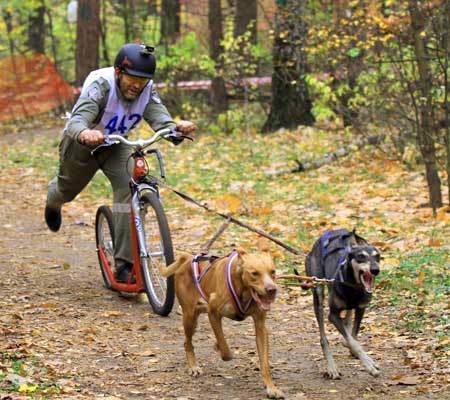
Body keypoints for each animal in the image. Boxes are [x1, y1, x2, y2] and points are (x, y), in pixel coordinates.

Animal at [162, 242, 284, 398]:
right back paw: (193, 366)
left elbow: (264, 363)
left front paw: (271, 387)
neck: (243, 289)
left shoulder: (260, 326)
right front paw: (220, 349)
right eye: (254, 273)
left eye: (272, 271)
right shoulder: (213, 313)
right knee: (187, 342)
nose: (272, 290)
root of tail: (189, 258)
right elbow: (225, 349)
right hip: (189, 317)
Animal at [306, 228, 380, 378]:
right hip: (318, 293)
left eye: (378, 257)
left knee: (347, 320)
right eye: (361, 256)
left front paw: (367, 359)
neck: (353, 286)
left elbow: (353, 336)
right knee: (323, 338)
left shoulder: (361, 309)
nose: (375, 270)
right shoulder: (333, 315)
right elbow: (353, 342)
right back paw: (332, 367)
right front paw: (369, 365)